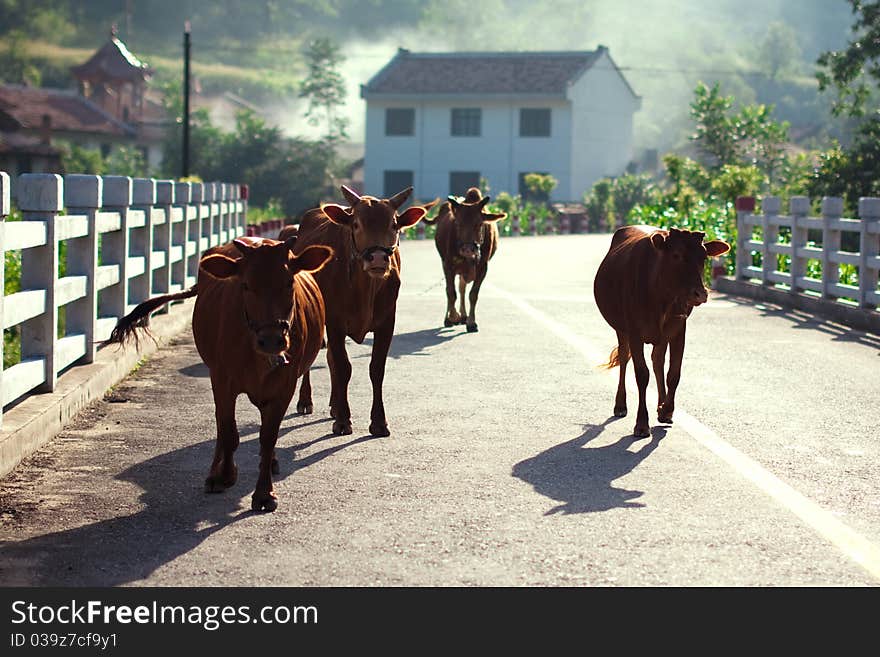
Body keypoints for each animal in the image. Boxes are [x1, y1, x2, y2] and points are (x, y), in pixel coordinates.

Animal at [105, 233, 334, 510]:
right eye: (245, 285)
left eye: (289, 282)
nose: (271, 340)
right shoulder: (222, 379)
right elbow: (228, 431)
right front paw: (224, 475)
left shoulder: (284, 385)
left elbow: (268, 437)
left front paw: (264, 493)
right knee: (220, 425)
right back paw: (216, 471)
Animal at [292, 184, 436, 436]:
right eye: (357, 224)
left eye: (394, 224)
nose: (377, 258)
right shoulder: (335, 324)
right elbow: (343, 367)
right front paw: (343, 420)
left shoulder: (387, 323)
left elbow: (376, 368)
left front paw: (378, 421)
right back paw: (306, 401)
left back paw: (334, 404)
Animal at [422, 187, 506, 334]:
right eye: (457, 223)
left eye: (479, 223)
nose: (468, 249)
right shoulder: (448, 265)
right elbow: (451, 292)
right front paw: (452, 316)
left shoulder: (483, 267)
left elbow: (473, 294)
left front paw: (471, 322)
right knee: (452, 290)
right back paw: (450, 318)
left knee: (462, 289)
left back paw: (464, 316)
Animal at [596, 224, 732, 436]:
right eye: (676, 255)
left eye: (704, 256)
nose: (700, 294)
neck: (661, 295)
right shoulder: (634, 331)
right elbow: (641, 375)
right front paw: (641, 423)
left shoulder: (679, 329)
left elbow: (674, 374)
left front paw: (666, 409)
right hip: (621, 329)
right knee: (625, 358)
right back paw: (620, 405)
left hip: (662, 335)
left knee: (658, 360)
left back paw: (661, 406)